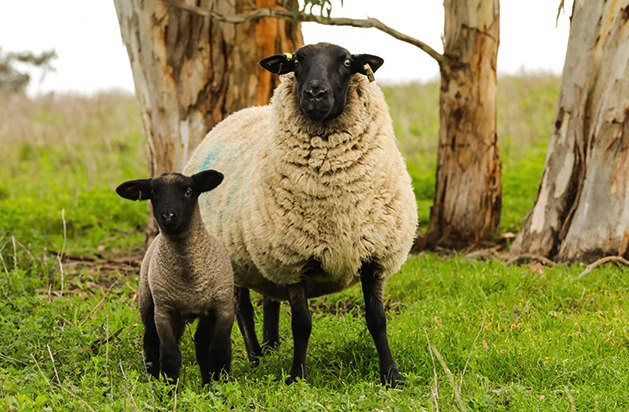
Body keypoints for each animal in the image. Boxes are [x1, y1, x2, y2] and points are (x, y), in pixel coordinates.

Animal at [115, 170, 233, 386]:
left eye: (188, 191)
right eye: (153, 193)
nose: (168, 215)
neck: (190, 277)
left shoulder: (223, 307)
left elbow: (220, 350)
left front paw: (223, 385)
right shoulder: (165, 311)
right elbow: (170, 355)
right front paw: (169, 389)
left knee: (202, 342)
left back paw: (207, 382)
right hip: (148, 302)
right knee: (151, 342)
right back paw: (153, 380)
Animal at [182, 41, 418, 386]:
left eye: (347, 62)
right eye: (297, 62)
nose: (315, 93)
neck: (337, 201)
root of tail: (241, 113)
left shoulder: (374, 255)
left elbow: (377, 319)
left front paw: (392, 375)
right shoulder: (294, 261)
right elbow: (302, 324)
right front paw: (297, 377)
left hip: (264, 256)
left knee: (269, 301)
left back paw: (270, 349)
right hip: (233, 260)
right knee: (243, 310)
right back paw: (256, 359)